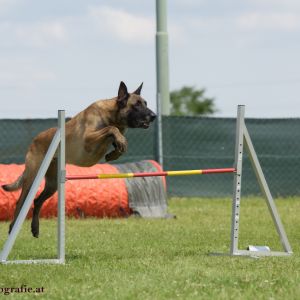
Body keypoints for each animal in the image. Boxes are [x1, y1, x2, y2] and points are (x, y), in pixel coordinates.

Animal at [2, 81, 156, 238]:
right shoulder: (88, 139)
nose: (154, 116)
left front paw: (115, 152)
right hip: (32, 178)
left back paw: (35, 228)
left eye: (145, 103)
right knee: (20, 202)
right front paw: (119, 142)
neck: (111, 114)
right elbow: (111, 129)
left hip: (52, 184)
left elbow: (116, 138)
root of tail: (34, 140)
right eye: (137, 105)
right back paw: (12, 227)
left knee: (37, 201)